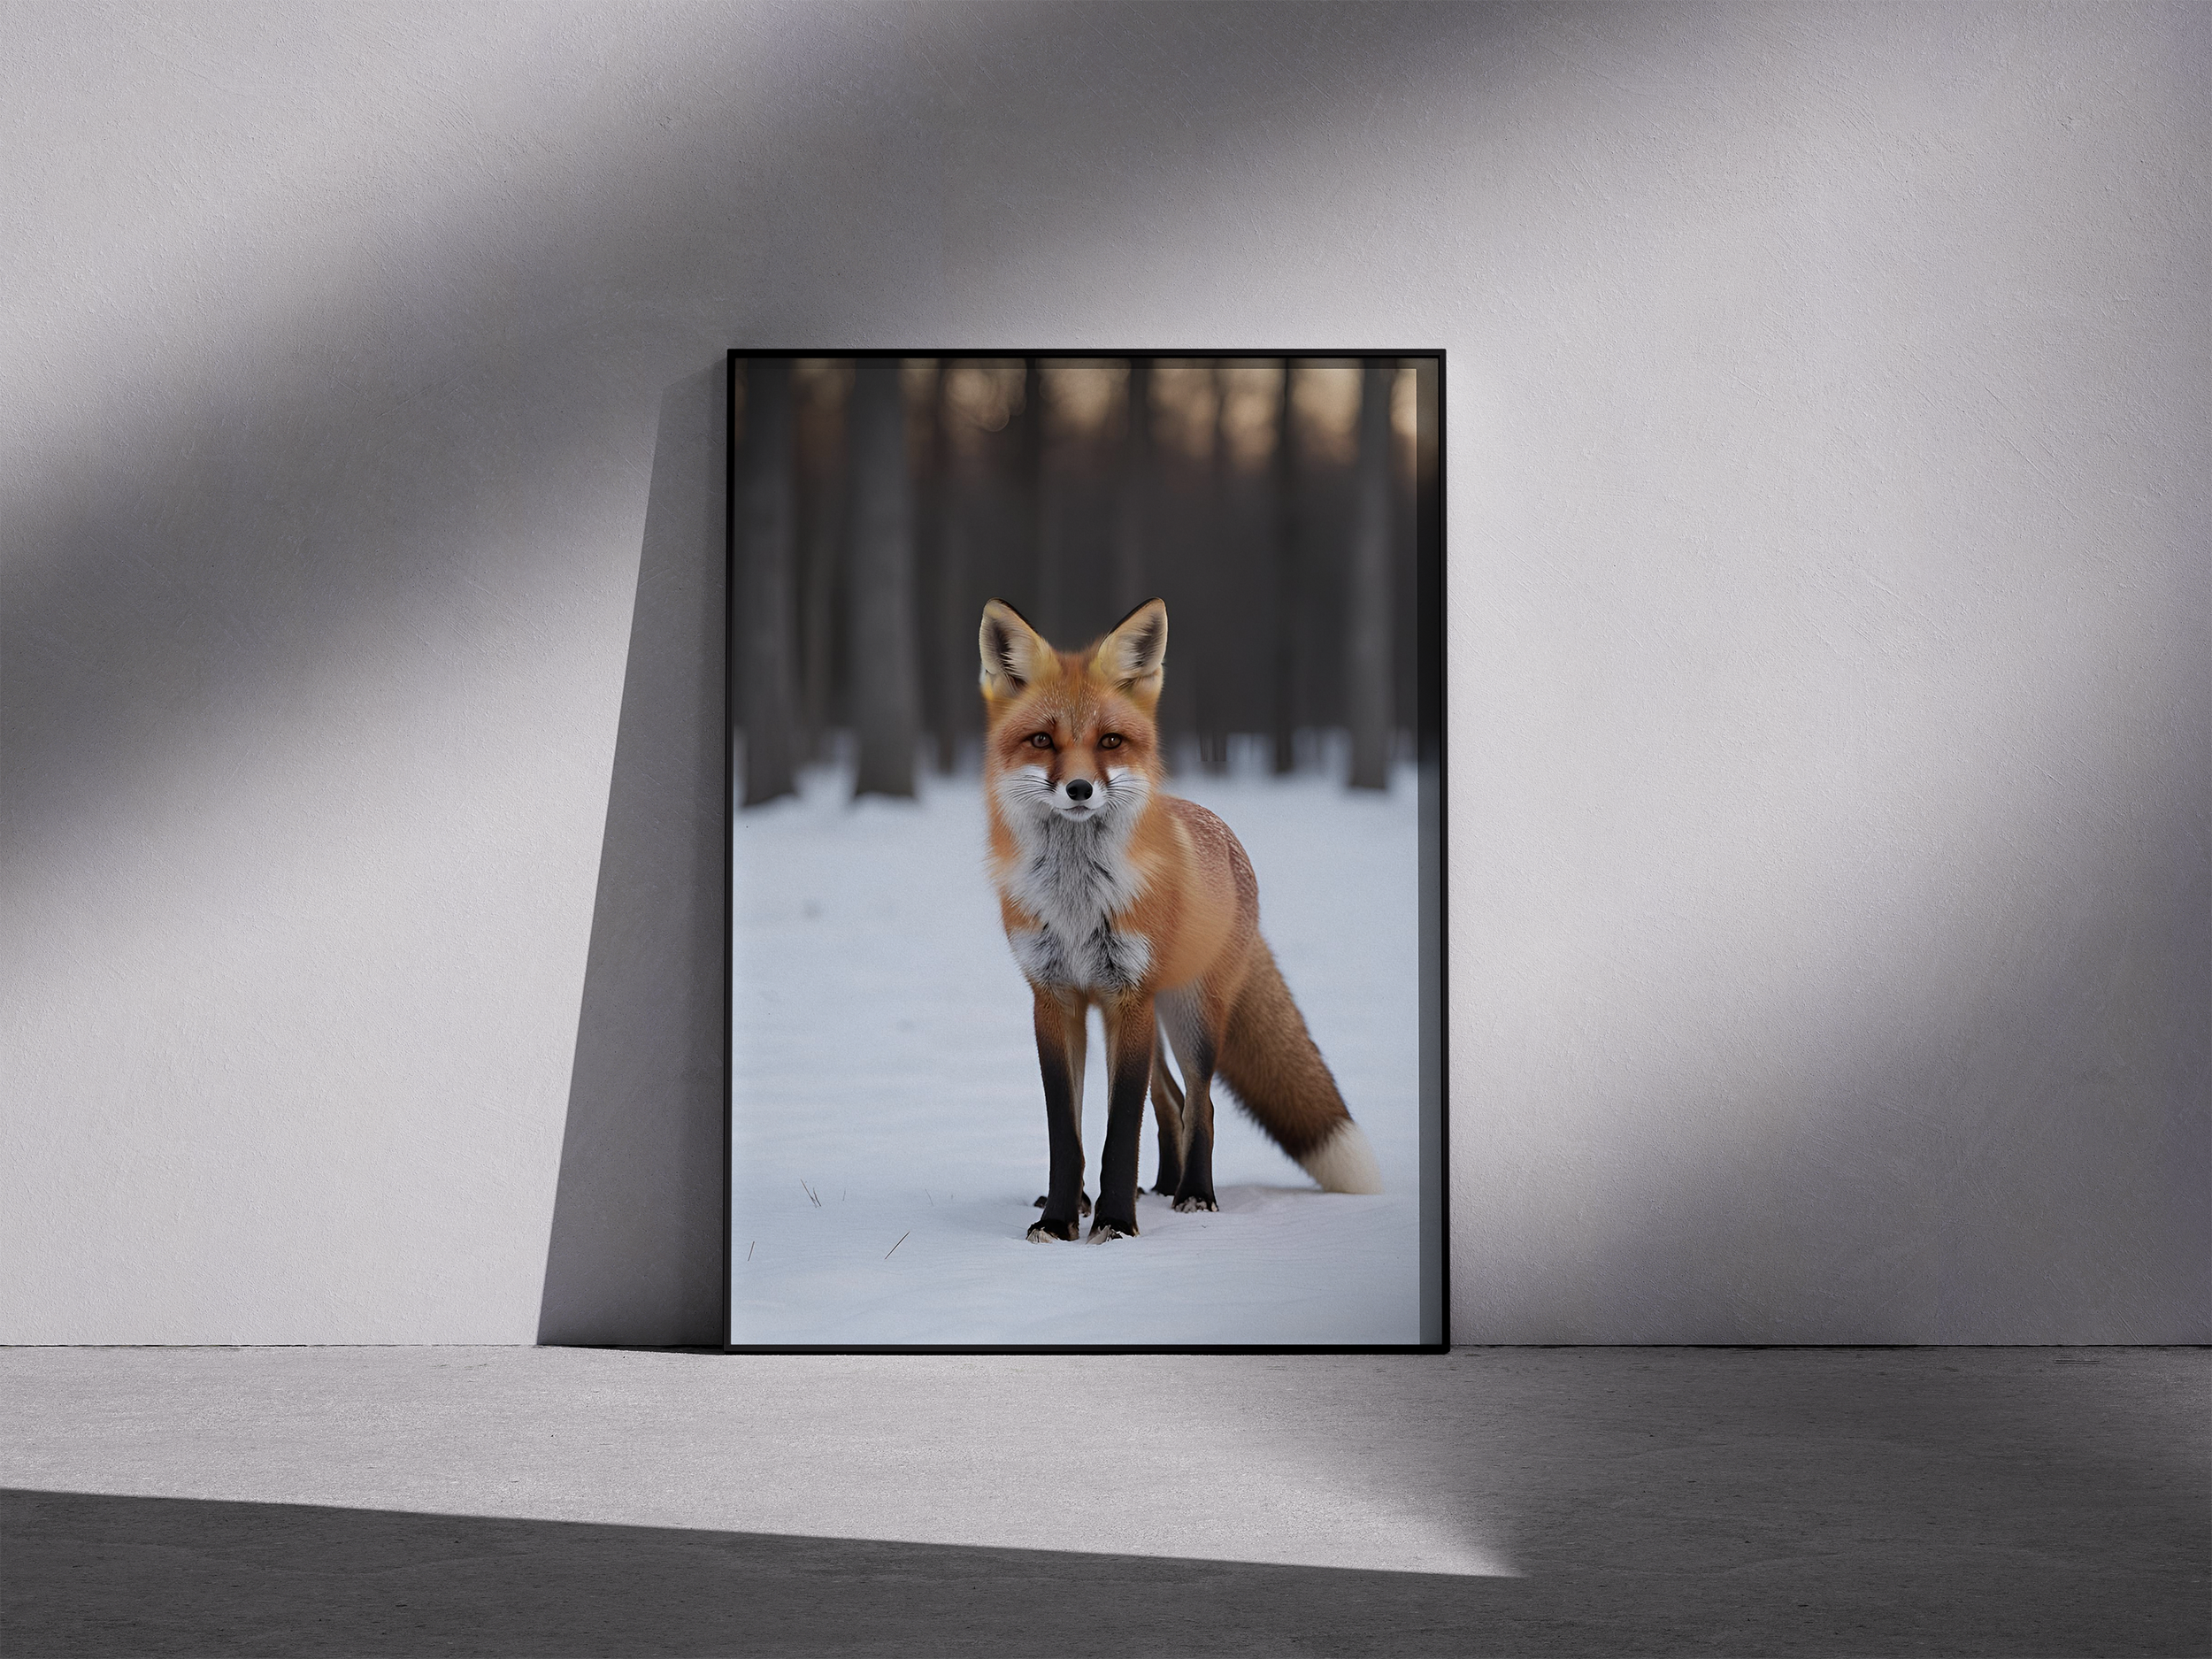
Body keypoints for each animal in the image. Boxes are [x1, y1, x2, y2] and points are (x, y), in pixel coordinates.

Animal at [978, 595, 1383, 1243]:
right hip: (1144, 1019)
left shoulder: (1128, 996)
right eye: (1042, 739)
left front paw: (1116, 1224)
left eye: (1110, 740)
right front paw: (1061, 1218)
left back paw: (1194, 1193)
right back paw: (1160, 1187)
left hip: (1187, 1013)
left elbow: (1120, 1130)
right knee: (1169, 1102)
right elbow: (1067, 1132)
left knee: (1201, 1102)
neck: (1077, 902)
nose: (1079, 788)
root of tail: (1223, 833)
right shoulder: (1056, 998)